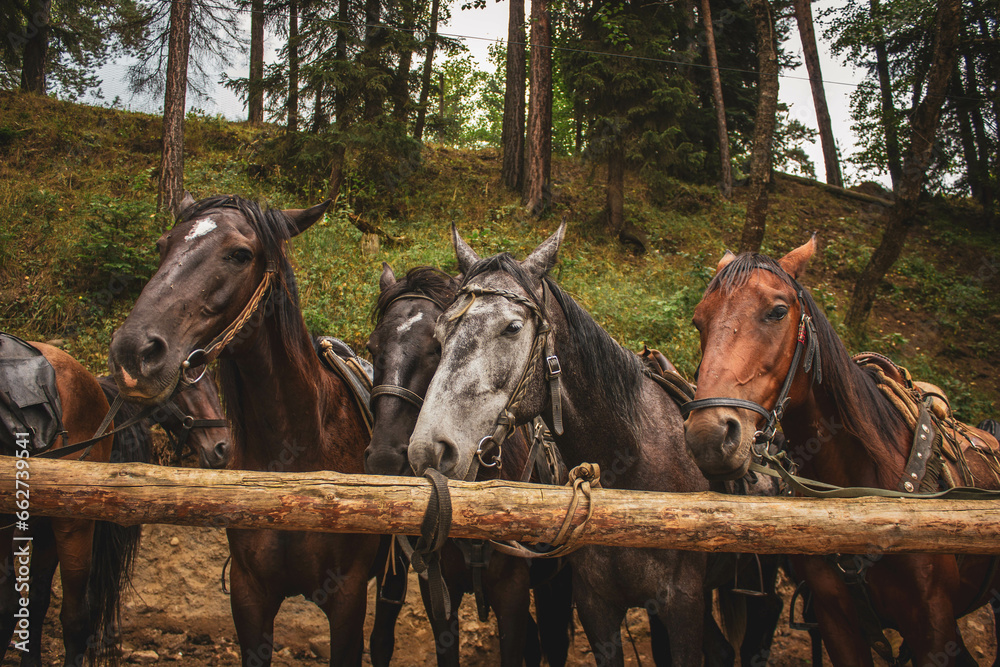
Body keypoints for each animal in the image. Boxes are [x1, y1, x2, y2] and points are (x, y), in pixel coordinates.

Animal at [108, 194, 402, 667]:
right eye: (162, 245)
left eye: (240, 254)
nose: (133, 353)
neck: (293, 459)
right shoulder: (249, 597)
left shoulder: (347, 600)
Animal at [684, 236, 1000, 667]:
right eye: (699, 321)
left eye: (778, 311)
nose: (709, 436)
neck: (860, 498)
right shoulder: (836, 620)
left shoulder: (933, 627)